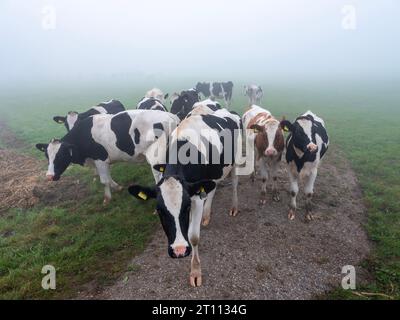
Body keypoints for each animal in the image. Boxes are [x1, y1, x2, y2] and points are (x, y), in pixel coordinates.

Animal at [36, 110, 179, 205]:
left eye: (61, 155)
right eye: (47, 156)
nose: (49, 176)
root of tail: (171, 116)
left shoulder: (100, 159)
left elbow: (104, 180)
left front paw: (107, 198)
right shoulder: (102, 162)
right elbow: (108, 178)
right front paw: (117, 187)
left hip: (156, 157)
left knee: (160, 177)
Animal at [128, 109, 241, 286]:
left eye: (187, 207)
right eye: (159, 210)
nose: (179, 250)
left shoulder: (195, 197)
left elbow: (193, 236)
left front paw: (195, 272)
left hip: (236, 159)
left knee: (235, 182)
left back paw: (234, 207)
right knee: (213, 187)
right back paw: (206, 216)